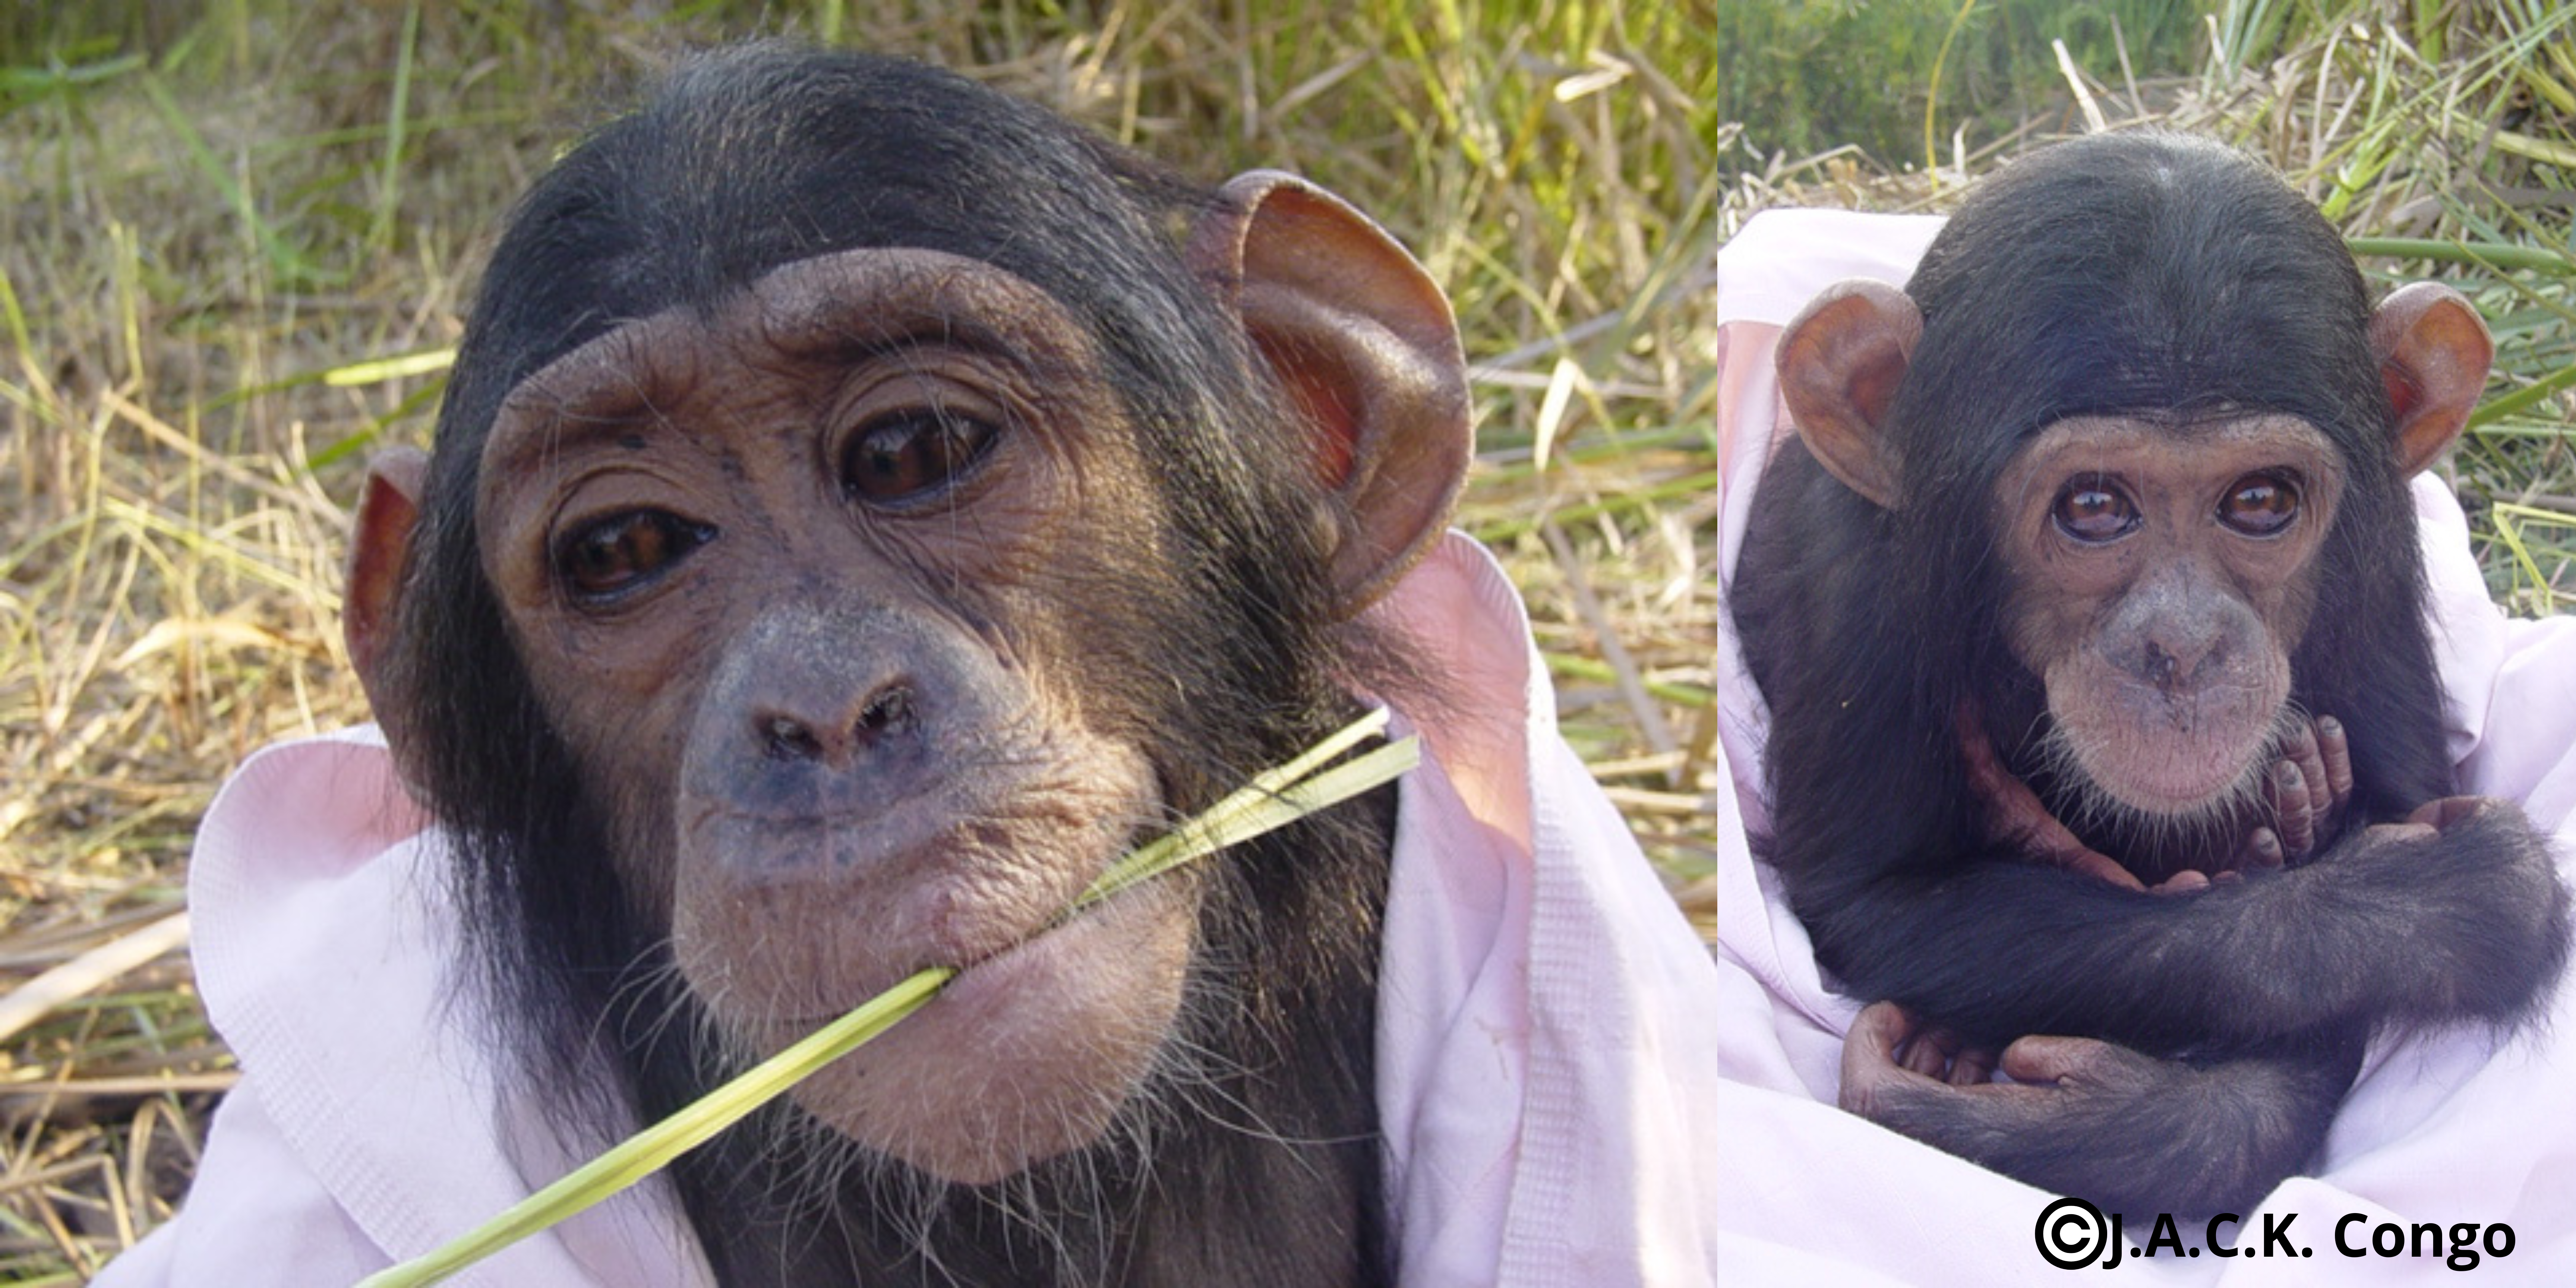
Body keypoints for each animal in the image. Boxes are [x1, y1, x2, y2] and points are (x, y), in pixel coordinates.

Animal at [1731, 133, 2576, 1216]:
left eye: (2260, 500)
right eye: (2093, 506)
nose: (2182, 645)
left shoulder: (2382, 559)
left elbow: (2408, 798)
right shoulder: (1851, 581)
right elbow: (1873, 894)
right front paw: (2427, 905)